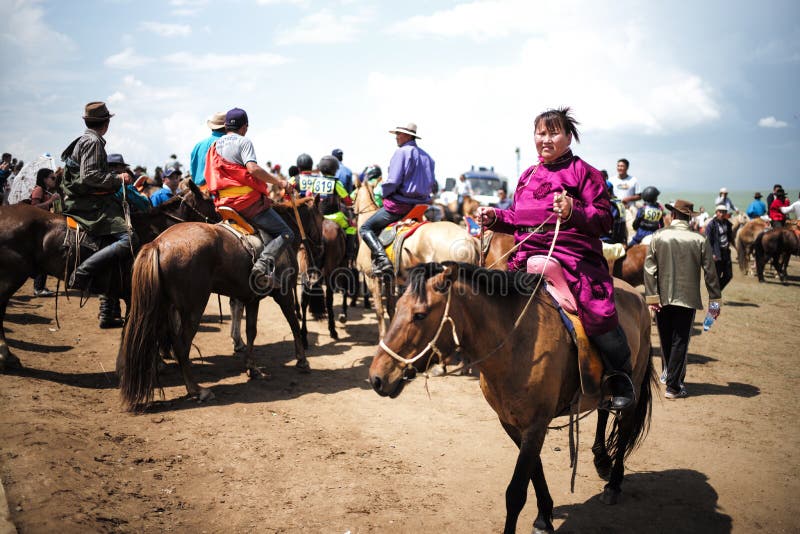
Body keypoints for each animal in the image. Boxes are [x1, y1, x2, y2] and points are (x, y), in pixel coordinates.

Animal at [117, 201, 324, 410]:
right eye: (321, 218)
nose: (321, 245)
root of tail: (157, 243)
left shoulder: (252, 299)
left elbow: (251, 331)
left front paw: (252, 367)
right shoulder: (284, 294)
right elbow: (294, 324)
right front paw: (302, 360)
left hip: (163, 307)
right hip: (193, 307)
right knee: (182, 346)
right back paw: (196, 389)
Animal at [372, 264, 652, 534]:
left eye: (420, 315)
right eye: (396, 308)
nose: (377, 377)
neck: (516, 343)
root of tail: (638, 296)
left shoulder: (536, 425)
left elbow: (516, 492)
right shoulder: (512, 424)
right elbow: (535, 471)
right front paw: (544, 517)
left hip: (635, 384)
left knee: (625, 427)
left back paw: (613, 484)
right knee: (604, 410)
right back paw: (601, 459)